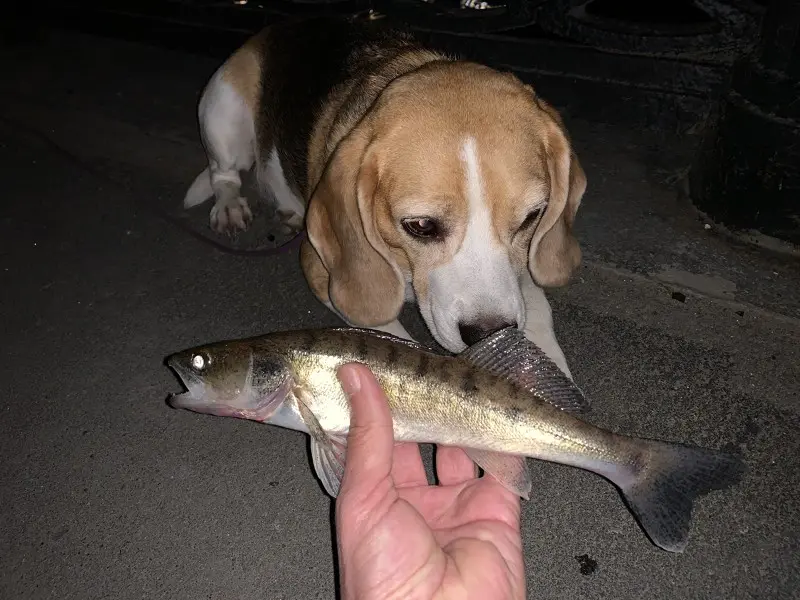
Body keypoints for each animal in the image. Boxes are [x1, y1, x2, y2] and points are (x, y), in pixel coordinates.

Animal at [184, 15, 584, 376]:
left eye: (532, 217)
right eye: (421, 226)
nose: (487, 334)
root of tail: (280, 26)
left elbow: (536, 311)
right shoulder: (321, 270)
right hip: (224, 113)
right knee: (225, 173)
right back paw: (230, 207)